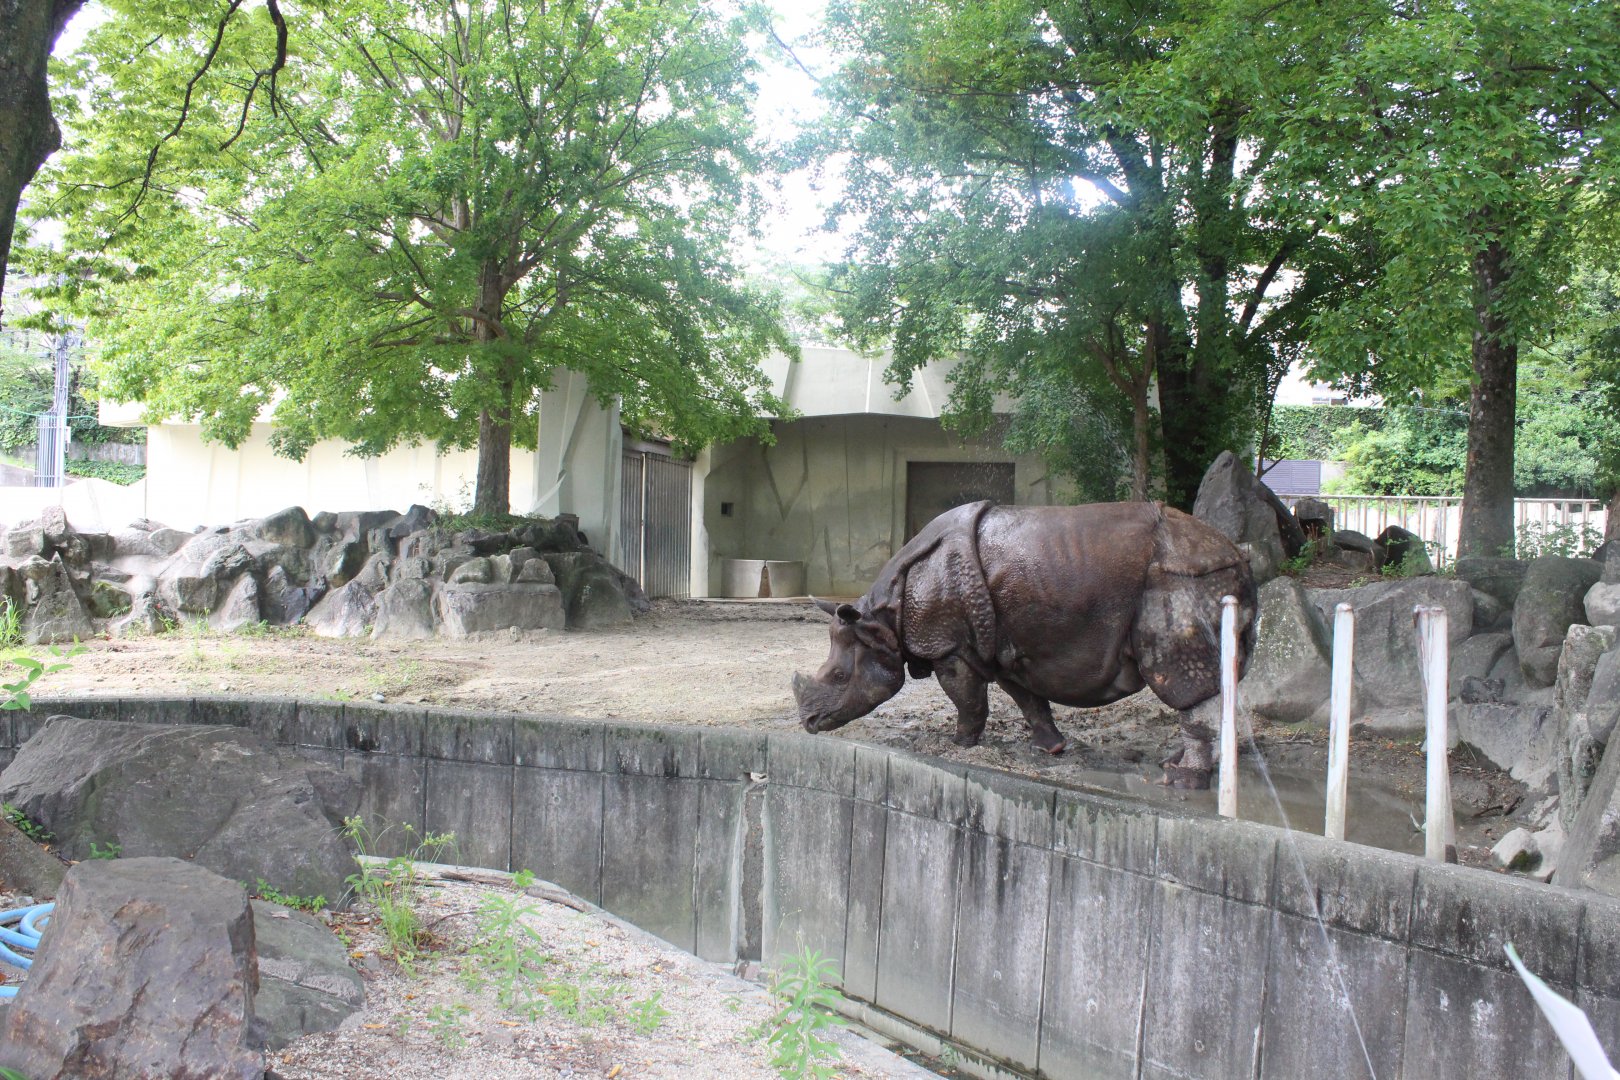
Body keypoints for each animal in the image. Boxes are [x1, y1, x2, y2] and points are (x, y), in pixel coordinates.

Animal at [791, 500, 1257, 771]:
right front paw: (1051, 749)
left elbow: (968, 699)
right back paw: (1179, 764)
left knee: (1178, 677)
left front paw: (958, 745)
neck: (881, 620)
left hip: (1184, 578)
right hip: (1203, 576)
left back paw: (1183, 778)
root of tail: (1238, 553)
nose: (809, 724)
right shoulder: (998, 645)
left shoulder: (949, 646)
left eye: (839, 678)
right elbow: (1028, 699)